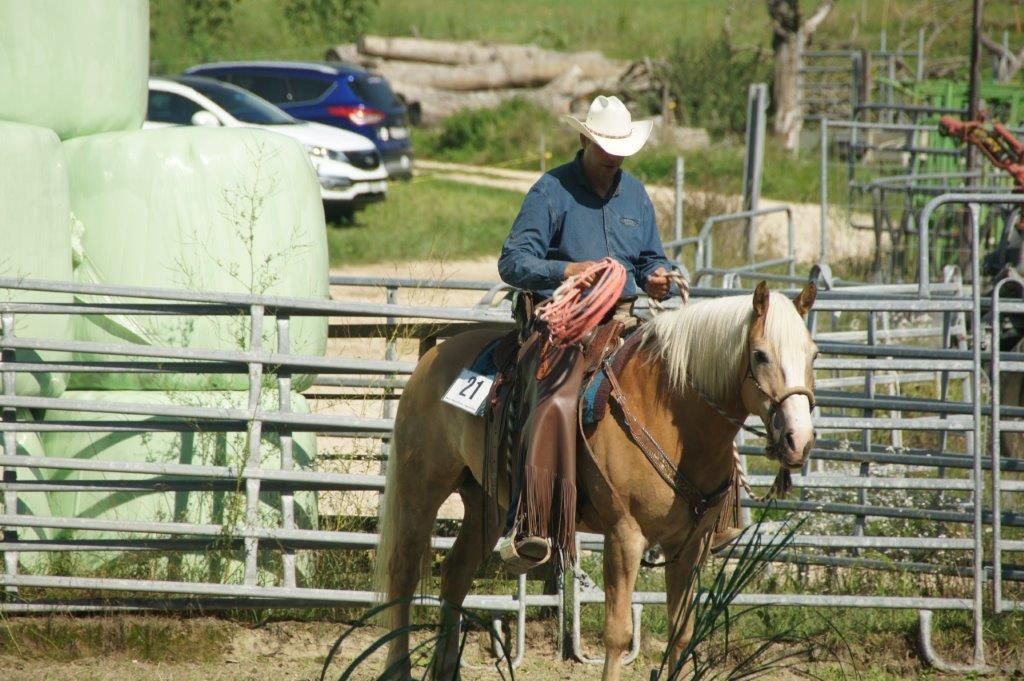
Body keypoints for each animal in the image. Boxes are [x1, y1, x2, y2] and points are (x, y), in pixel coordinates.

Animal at [373, 281, 819, 680]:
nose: (798, 439)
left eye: (813, 354)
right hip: (421, 487)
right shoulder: (624, 535)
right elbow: (618, 634)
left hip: (487, 504)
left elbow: (681, 632)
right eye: (760, 355)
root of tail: (436, 354)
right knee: (403, 574)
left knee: (455, 575)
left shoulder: (691, 545)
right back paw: (398, 669)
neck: (672, 414)